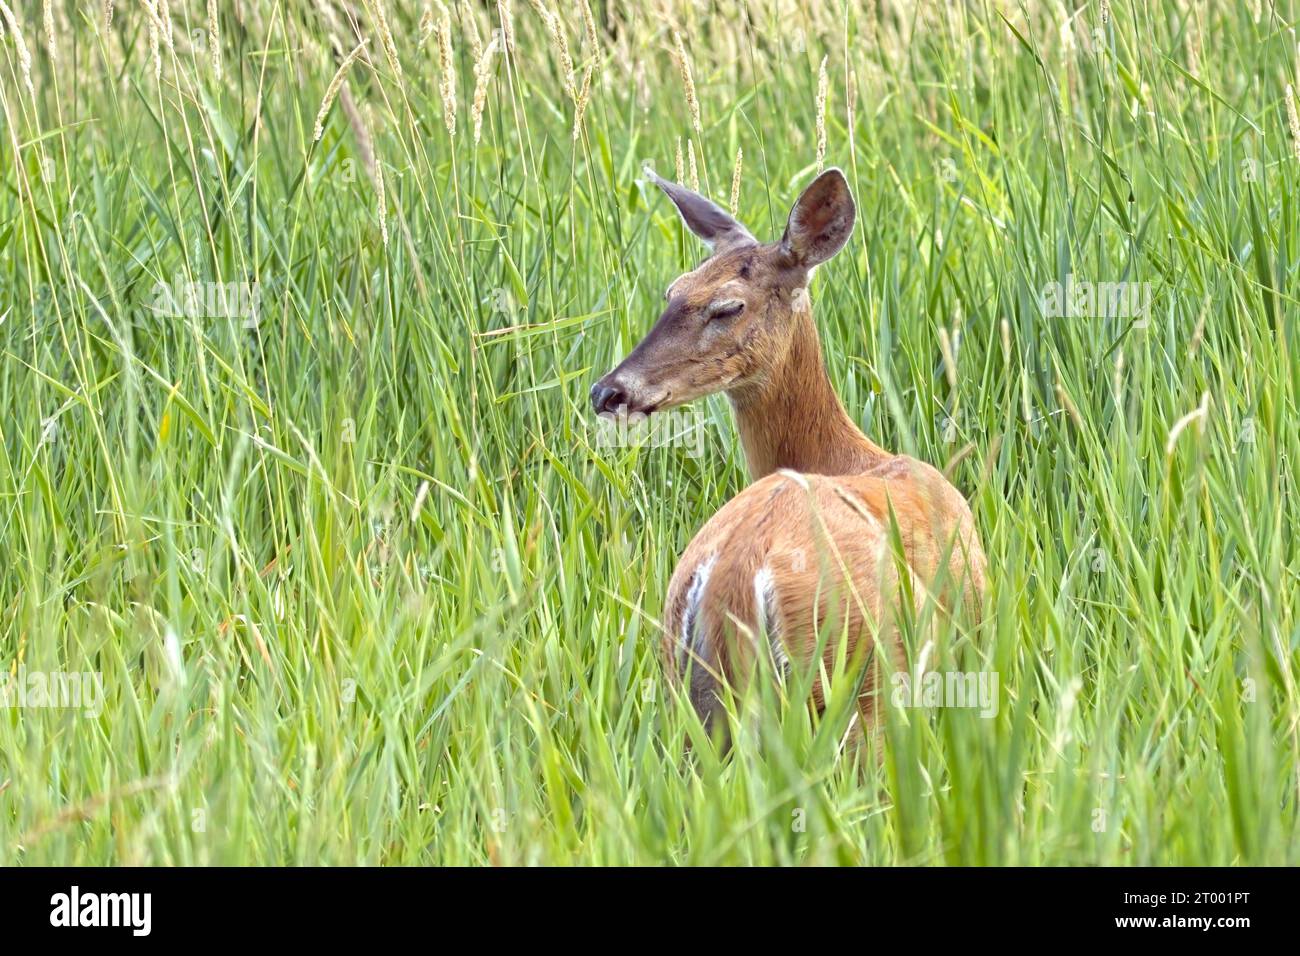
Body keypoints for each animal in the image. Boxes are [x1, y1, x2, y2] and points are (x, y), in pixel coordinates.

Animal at [590, 167, 987, 748]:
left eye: (727, 306)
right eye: (672, 291)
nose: (608, 392)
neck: (851, 457)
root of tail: (729, 581)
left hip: (692, 701)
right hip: (857, 680)